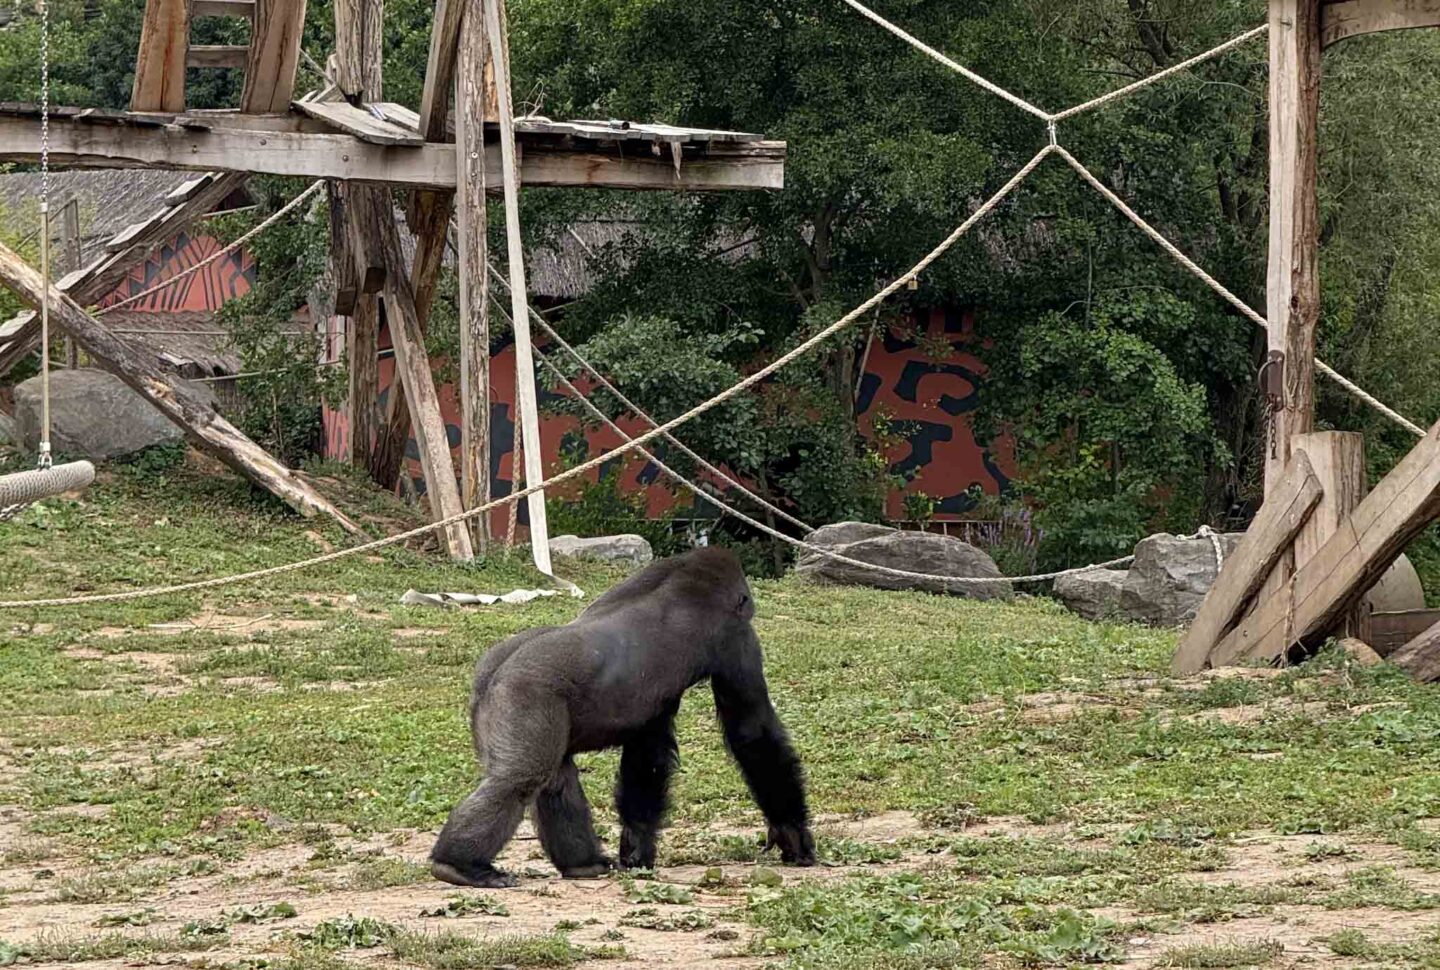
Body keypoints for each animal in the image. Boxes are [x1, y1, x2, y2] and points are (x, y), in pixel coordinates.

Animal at [429, 547, 816, 888]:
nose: (752, 608)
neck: (689, 581)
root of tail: (493, 673)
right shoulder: (735, 639)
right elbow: (752, 733)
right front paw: (792, 832)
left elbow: (648, 757)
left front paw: (635, 849)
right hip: (526, 693)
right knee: (519, 779)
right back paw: (459, 864)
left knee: (554, 779)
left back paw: (582, 864)